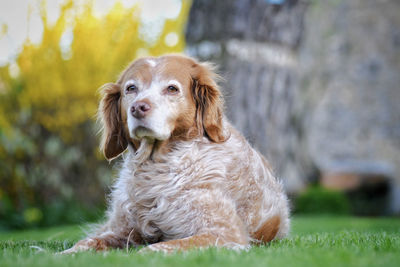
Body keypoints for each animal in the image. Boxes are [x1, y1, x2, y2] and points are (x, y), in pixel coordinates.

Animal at [61, 54, 288, 253]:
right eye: (131, 88)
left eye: (171, 88)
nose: (138, 107)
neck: (155, 167)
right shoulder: (123, 230)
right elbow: (87, 242)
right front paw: (64, 254)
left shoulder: (224, 231)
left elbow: (159, 247)